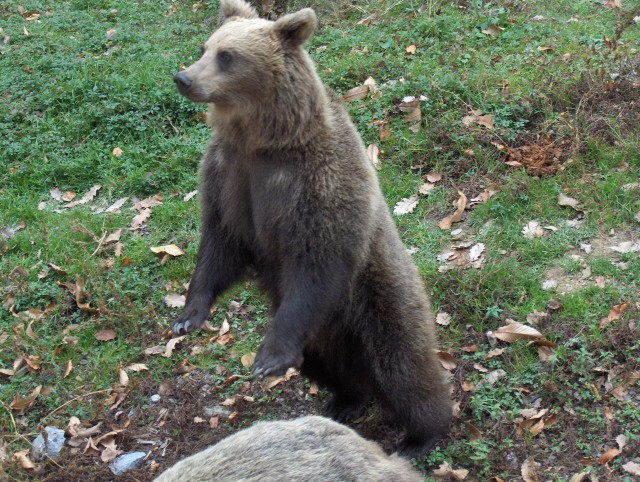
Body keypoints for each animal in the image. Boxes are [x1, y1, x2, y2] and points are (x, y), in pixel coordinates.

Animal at [170, 0, 450, 456]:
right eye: (204, 47)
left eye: (227, 56)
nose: (184, 78)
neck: (263, 142)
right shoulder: (228, 177)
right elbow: (218, 246)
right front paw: (188, 315)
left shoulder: (317, 186)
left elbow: (317, 260)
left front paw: (267, 357)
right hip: (322, 338)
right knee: (329, 367)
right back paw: (346, 400)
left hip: (379, 295)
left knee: (404, 365)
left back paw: (420, 435)